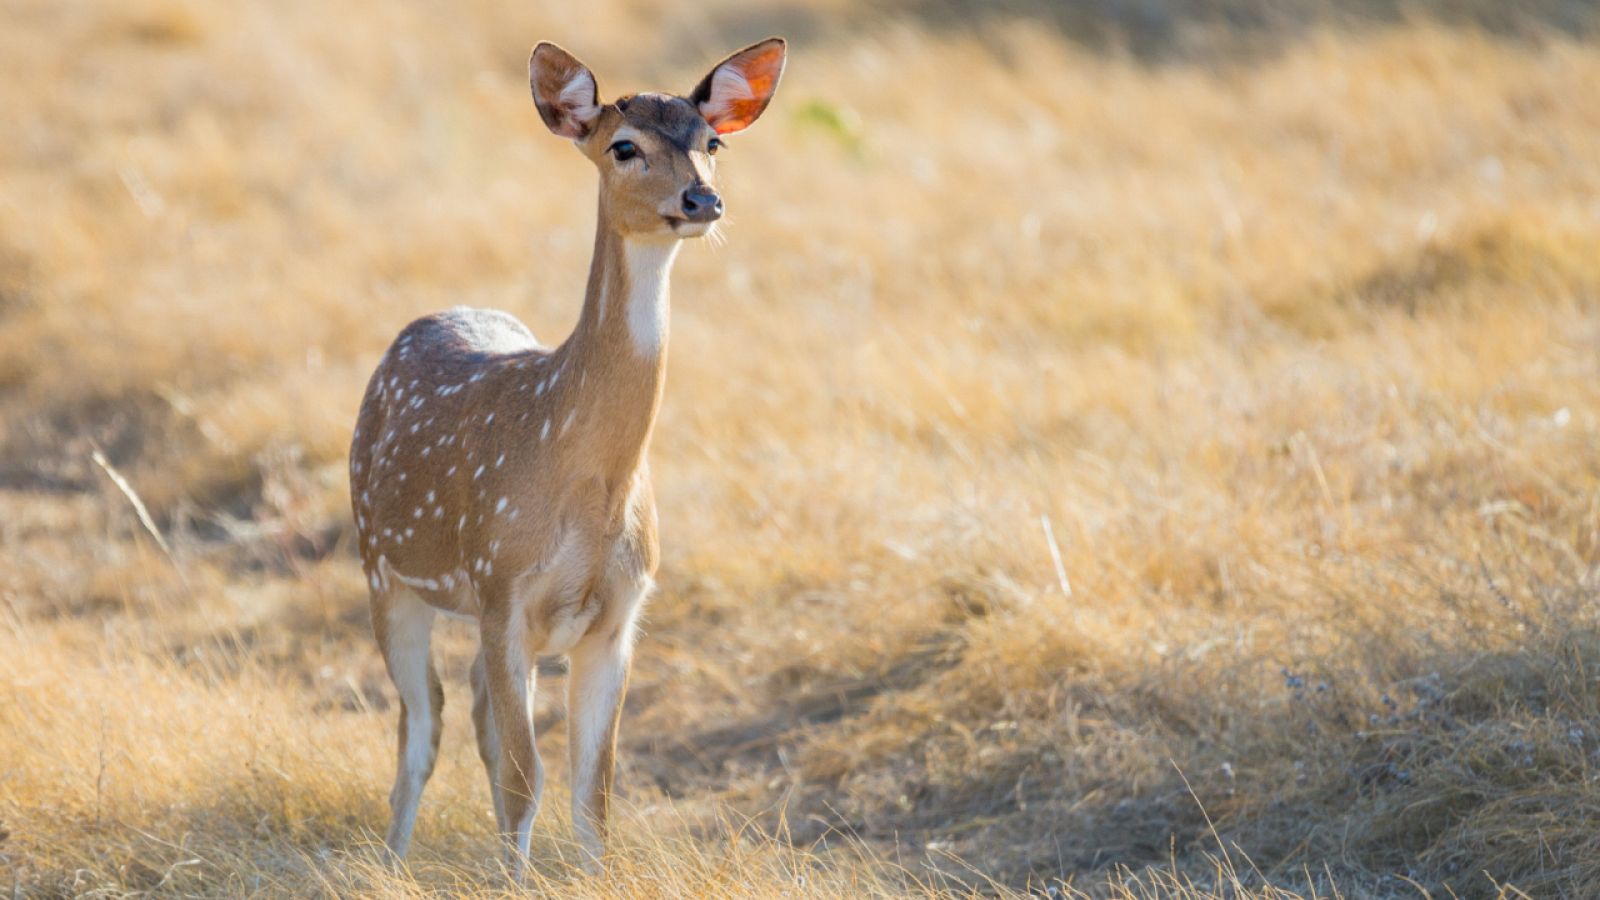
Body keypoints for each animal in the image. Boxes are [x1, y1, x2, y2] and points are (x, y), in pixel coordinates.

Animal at [350, 38, 787, 871]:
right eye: (625, 146)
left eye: (712, 144)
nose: (701, 202)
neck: (586, 488)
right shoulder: (502, 588)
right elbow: (528, 777)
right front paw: (512, 879)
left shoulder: (618, 616)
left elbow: (594, 792)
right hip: (384, 567)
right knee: (423, 727)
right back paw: (390, 860)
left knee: (474, 719)